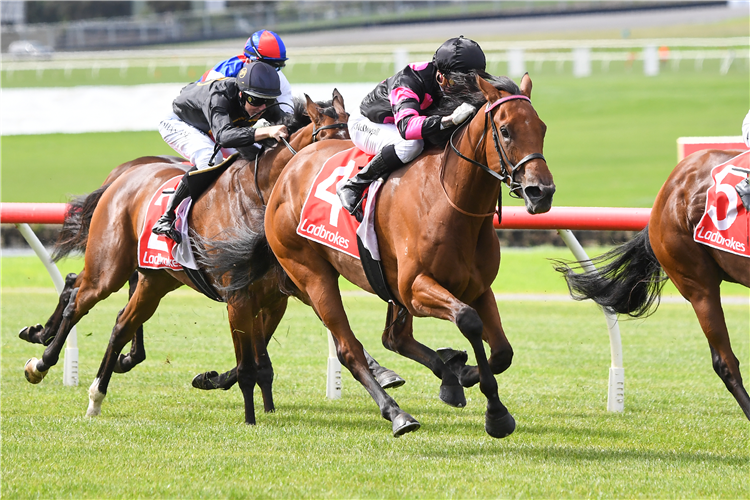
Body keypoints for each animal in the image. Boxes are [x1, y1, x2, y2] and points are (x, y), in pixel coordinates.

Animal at [19, 93, 388, 422]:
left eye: (352, 136)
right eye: (325, 138)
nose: (348, 176)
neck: (258, 197)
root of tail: (121, 178)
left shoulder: (278, 293)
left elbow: (266, 356)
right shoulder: (240, 294)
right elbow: (251, 361)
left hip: (156, 278)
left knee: (121, 321)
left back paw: (94, 392)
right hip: (108, 267)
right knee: (78, 301)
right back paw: (42, 362)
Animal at [268, 74, 556, 438]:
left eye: (542, 127)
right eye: (505, 130)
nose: (541, 192)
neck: (449, 201)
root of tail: (289, 167)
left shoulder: (477, 288)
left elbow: (502, 352)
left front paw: (462, 372)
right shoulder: (416, 287)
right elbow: (468, 320)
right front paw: (496, 412)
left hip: (384, 284)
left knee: (394, 338)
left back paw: (446, 376)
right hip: (312, 274)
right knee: (349, 349)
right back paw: (397, 414)